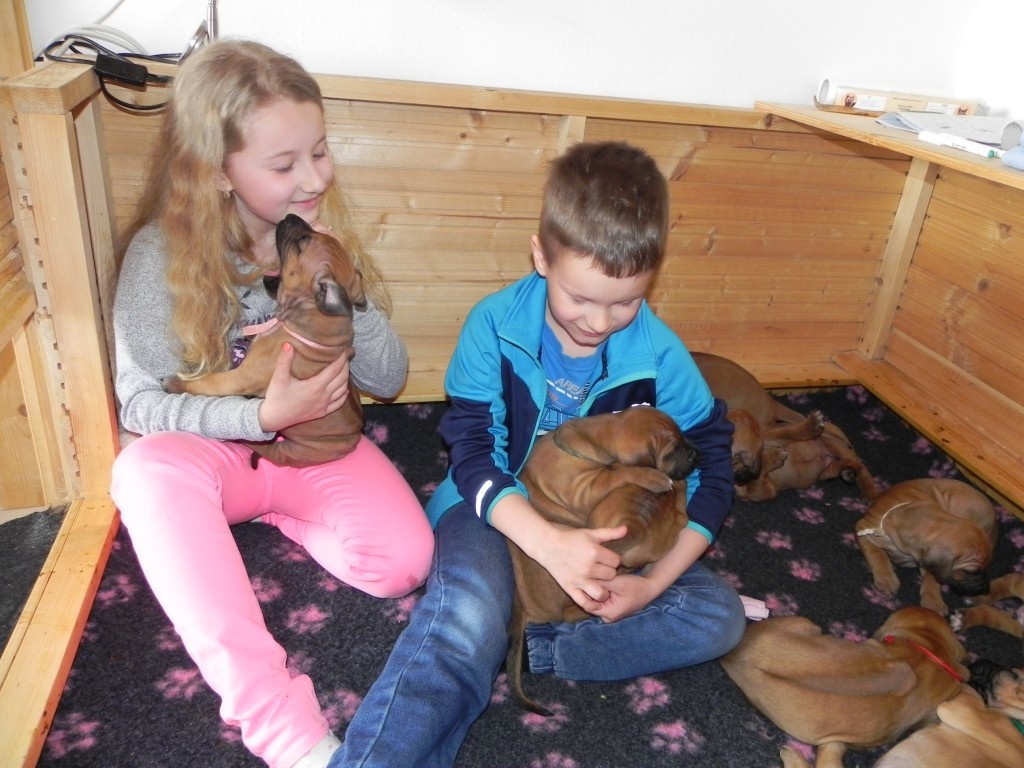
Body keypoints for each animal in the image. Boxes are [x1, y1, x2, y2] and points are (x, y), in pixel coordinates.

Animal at [165, 214, 366, 468]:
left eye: (302, 241)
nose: (291, 216)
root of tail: (354, 439)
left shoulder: (239, 378)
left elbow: (207, 382)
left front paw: (176, 384)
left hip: (297, 451)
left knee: (272, 452)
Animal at [506, 406, 698, 715]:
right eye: (674, 450)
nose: (697, 454)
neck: (592, 440)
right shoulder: (587, 487)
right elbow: (620, 475)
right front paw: (653, 478)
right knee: (569, 614)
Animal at [854, 479, 997, 615]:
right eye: (969, 572)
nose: (986, 590)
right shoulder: (863, 529)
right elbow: (877, 554)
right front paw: (886, 579)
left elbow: (932, 579)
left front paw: (933, 601)